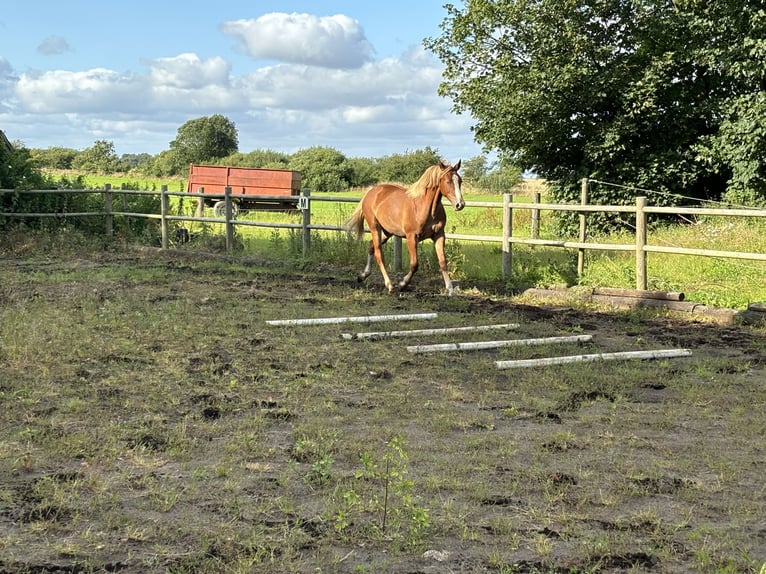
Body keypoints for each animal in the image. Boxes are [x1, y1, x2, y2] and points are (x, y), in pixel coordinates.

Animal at [350, 161, 468, 296]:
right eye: (448, 181)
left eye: (460, 181)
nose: (460, 204)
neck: (424, 208)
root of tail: (370, 192)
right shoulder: (411, 237)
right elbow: (414, 264)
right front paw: (402, 284)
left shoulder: (439, 235)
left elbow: (443, 262)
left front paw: (450, 290)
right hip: (375, 228)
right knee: (379, 254)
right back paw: (389, 285)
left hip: (387, 232)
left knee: (371, 246)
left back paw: (362, 276)